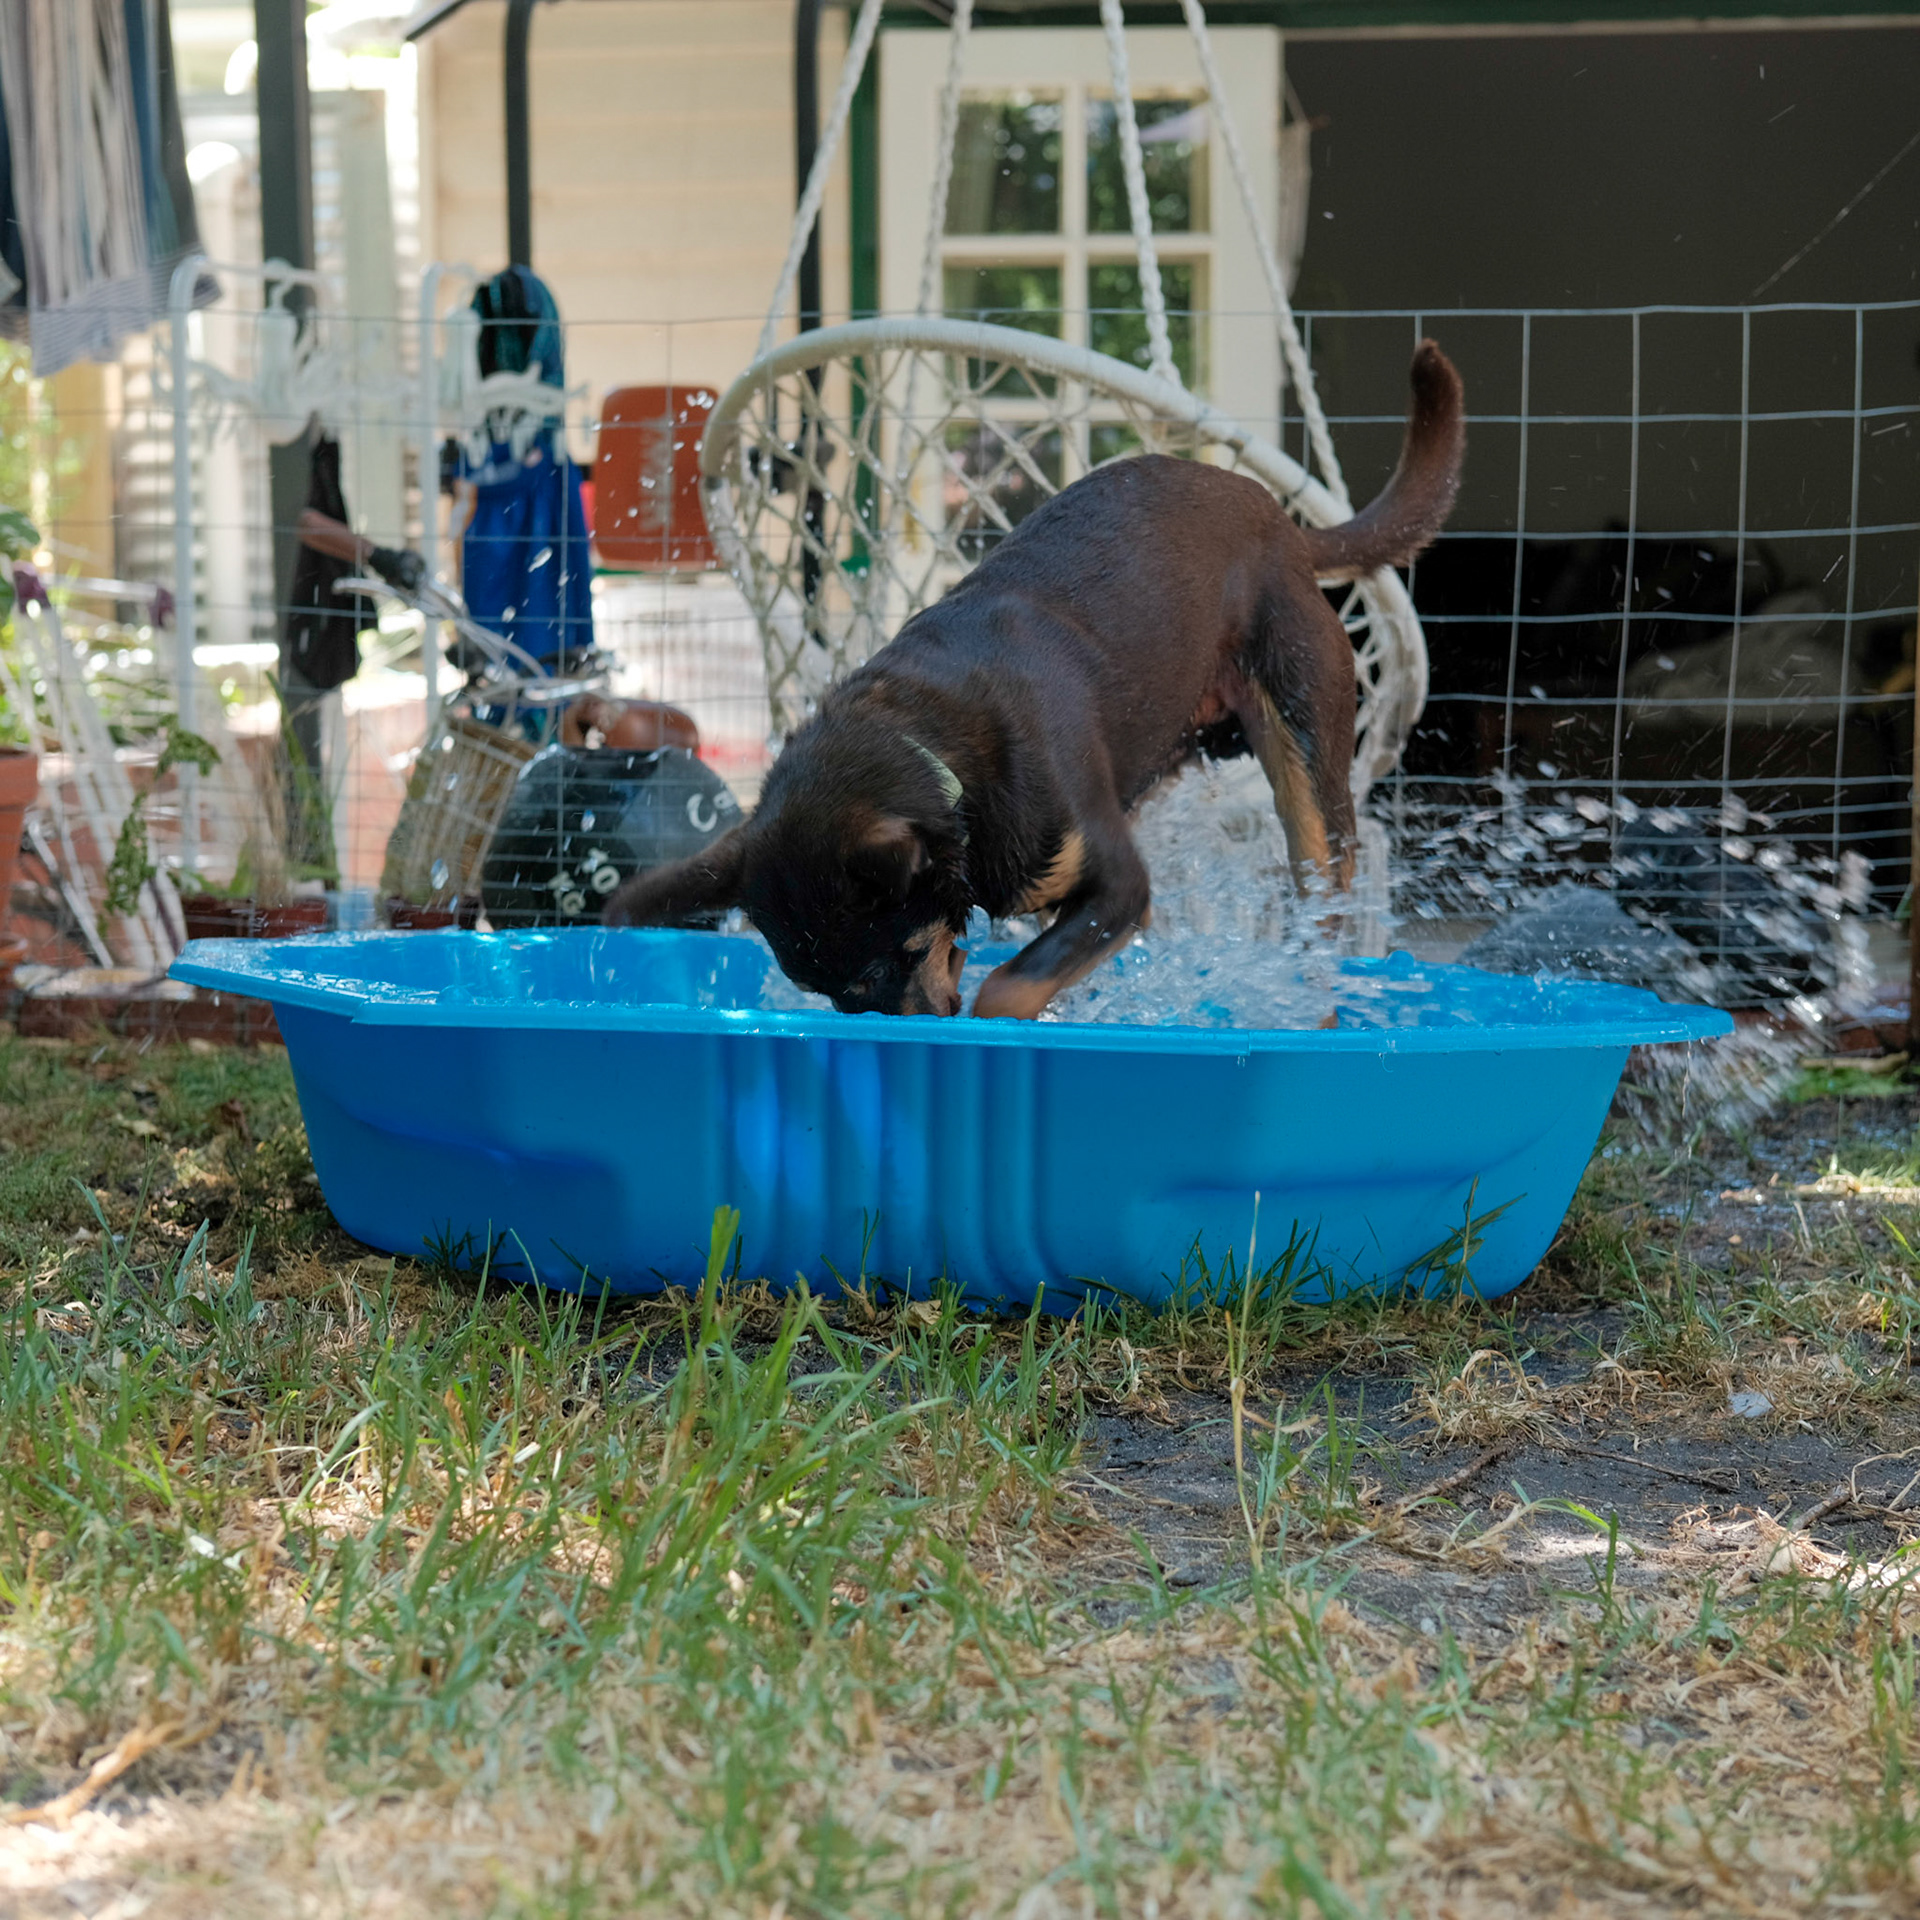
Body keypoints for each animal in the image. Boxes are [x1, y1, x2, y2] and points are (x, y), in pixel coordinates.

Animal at [604, 340, 1464, 1019]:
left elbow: (1007, 987)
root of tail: (1283, 525)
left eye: (890, 960)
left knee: (1321, 906)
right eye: (830, 995)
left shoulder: (1117, 885)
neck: (936, 755)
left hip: (1305, 753)